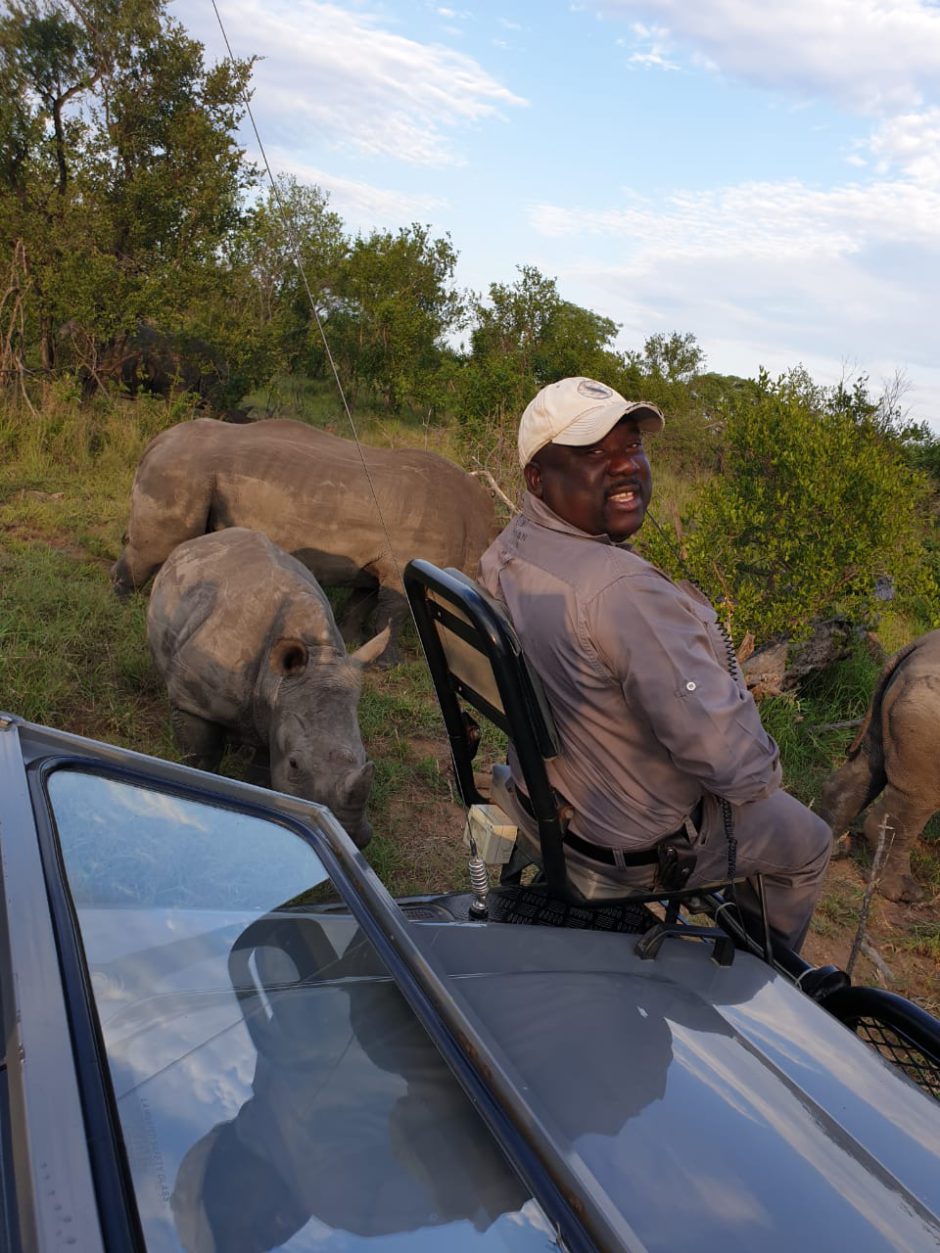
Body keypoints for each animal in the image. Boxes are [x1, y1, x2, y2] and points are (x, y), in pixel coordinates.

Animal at [114, 415, 496, 666]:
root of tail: (159, 439)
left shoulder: (374, 561)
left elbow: (361, 602)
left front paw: (350, 639)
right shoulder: (403, 564)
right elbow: (395, 616)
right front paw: (391, 664)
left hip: (189, 468)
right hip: (184, 468)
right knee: (160, 544)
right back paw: (123, 603)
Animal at [146, 523, 386, 847]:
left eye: (366, 758)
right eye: (295, 764)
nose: (351, 835)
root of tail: (211, 537)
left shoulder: (278, 714)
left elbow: (263, 771)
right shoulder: (195, 702)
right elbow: (200, 758)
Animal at [817, 626, 940, 902]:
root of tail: (916, 644)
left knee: (872, 761)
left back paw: (831, 848)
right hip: (928, 704)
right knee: (920, 796)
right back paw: (904, 894)